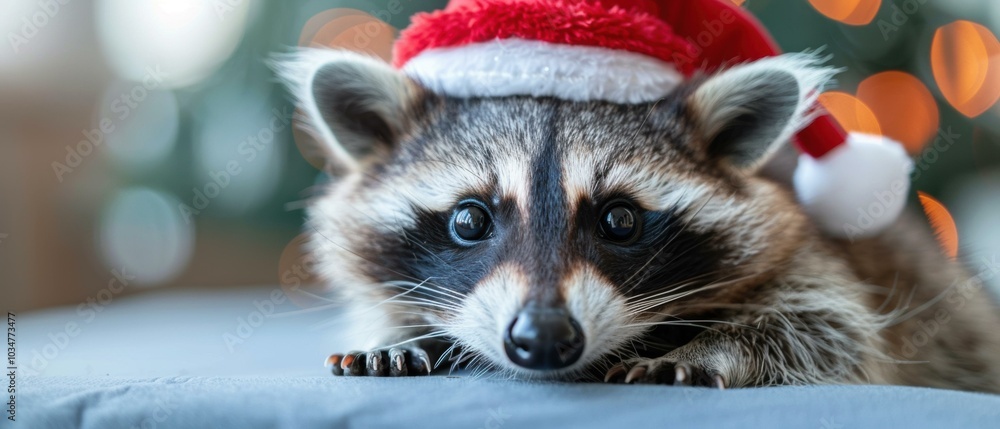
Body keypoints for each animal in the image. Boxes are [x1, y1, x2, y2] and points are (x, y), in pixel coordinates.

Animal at [278, 48, 1000, 390]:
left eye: (620, 220)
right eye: (469, 220)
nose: (543, 337)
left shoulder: (811, 258)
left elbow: (827, 329)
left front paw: (710, 347)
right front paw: (411, 335)